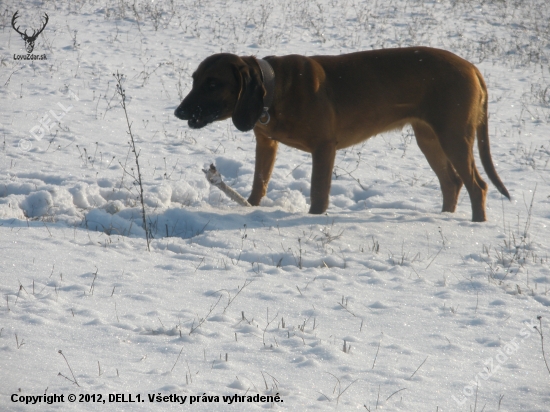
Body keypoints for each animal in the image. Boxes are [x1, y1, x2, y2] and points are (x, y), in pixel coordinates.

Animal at [175, 47, 512, 222]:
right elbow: (259, 183)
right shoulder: (266, 142)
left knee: (478, 186)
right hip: (428, 137)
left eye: (213, 83)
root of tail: (472, 67)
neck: (274, 89)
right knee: (452, 183)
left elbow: (318, 193)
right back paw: (445, 218)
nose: (178, 111)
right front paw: (250, 209)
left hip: (454, 136)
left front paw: (313, 220)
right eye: (194, 79)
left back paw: (475, 225)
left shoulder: (324, 148)